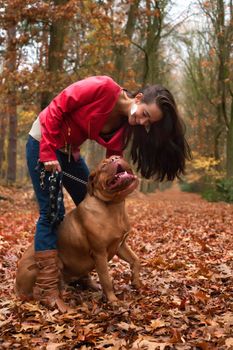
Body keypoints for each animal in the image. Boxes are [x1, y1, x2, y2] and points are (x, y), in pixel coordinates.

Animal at [16, 154, 141, 302]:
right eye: (104, 166)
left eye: (117, 157)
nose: (115, 159)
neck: (113, 205)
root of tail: (16, 288)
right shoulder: (100, 253)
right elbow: (106, 279)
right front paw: (113, 301)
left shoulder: (120, 245)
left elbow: (135, 260)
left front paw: (137, 282)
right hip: (46, 267)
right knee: (40, 290)